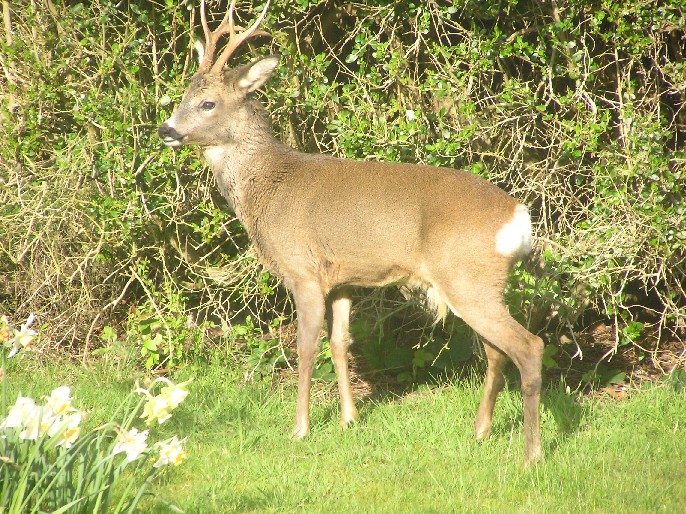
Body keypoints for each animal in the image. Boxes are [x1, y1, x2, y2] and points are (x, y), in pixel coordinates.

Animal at [159, 0, 544, 464]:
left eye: (208, 103)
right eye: (183, 96)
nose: (165, 130)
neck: (266, 187)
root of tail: (517, 216)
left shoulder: (303, 270)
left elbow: (306, 345)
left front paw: (300, 429)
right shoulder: (343, 277)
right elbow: (341, 342)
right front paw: (349, 418)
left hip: (467, 277)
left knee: (528, 346)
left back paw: (532, 454)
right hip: (479, 283)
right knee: (496, 352)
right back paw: (481, 432)